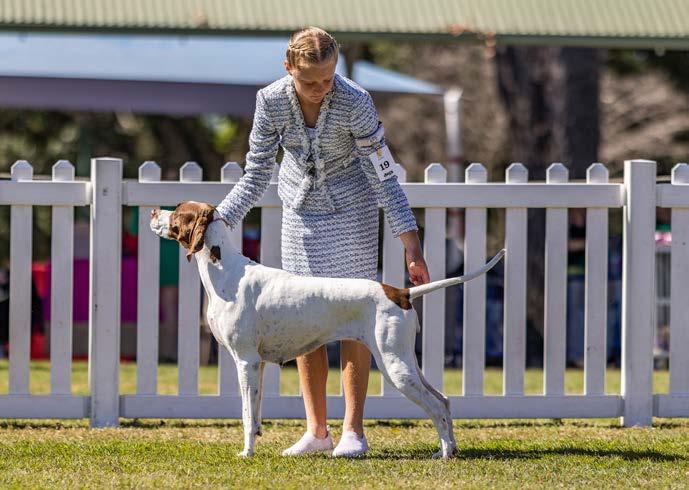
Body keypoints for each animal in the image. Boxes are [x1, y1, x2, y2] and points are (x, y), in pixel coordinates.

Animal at [150, 201, 505, 458]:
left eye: (177, 211)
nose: (154, 211)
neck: (227, 270)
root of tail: (400, 292)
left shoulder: (245, 361)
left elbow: (246, 415)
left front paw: (246, 452)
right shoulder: (258, 365)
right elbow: (255, 410)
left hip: (394, 366)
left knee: (436, 407)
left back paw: (444, 454)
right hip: (405, 362)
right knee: (444, 400)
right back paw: (449, 449)